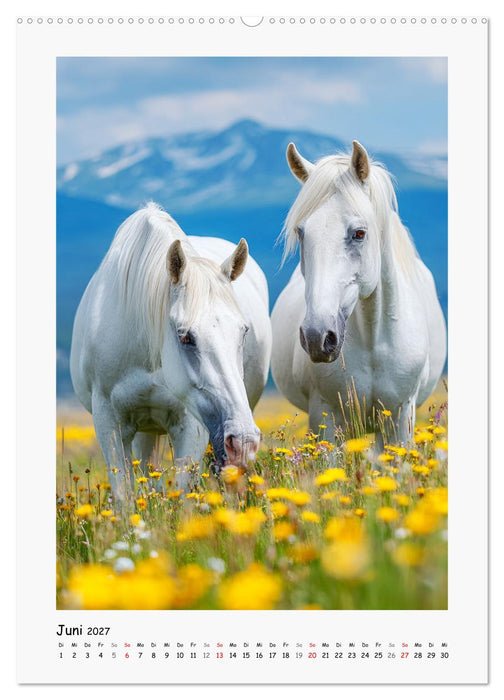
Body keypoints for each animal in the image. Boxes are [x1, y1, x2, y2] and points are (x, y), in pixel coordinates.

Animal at [70, 203, 272, 499]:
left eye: (244, 331)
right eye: (185, 337)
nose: (243, 442)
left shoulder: (191, 424)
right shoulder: (109, 422)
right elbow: (124, 495)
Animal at [271, 140, 446, 446]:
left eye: (359, 233)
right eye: (302, 233)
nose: (317, 337)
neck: (374, 342)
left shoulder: (400, 418)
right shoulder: (326, 418)